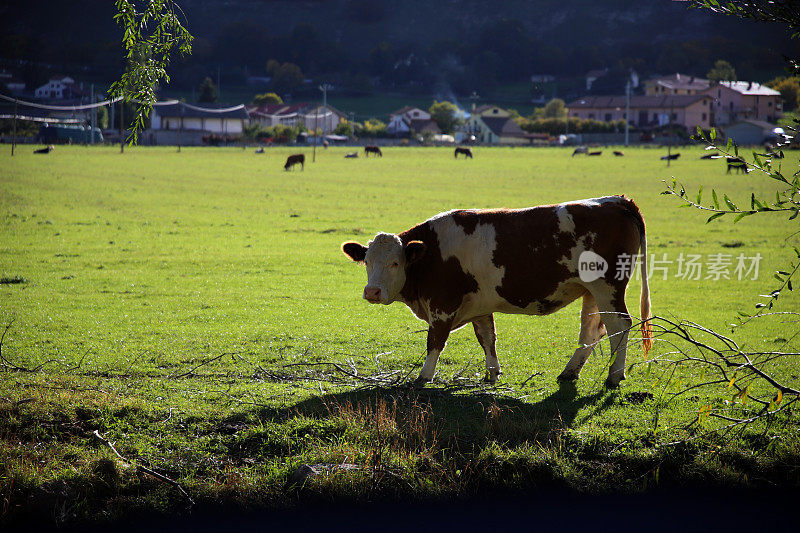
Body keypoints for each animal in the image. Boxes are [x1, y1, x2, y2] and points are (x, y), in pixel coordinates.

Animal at [340, 194, 652, 386]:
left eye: (395, 263)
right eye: (367, 261)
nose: (372, 292)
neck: (431, 254)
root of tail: (618, 201)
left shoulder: (442, 305)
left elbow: (435, 341)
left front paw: (424, 376)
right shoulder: (479, 306)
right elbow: (487, 338)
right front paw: (492, 373)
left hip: (608, 286)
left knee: (620, 325)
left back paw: (614, 375)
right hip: (591, 292)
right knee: (591, 329)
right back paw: (570, 372)